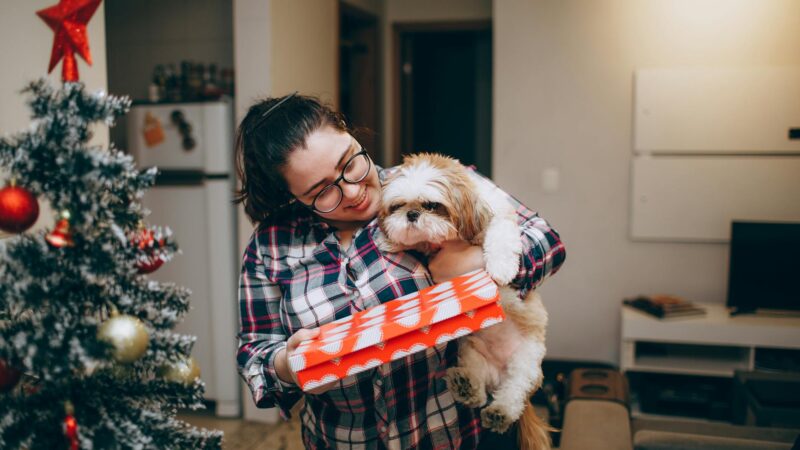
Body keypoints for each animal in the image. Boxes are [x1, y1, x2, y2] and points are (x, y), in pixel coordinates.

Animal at [378, 154, 552, 450]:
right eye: (398, 206)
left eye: (431, 205)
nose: (412, 215)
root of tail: (498, 374)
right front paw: (391, 241)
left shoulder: (499, 217)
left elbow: (501, 237)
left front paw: (502, 267)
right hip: (470, 351)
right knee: (479, 391)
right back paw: (466, 386)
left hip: (526, 363)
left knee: (513, 394)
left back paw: (499, 413)